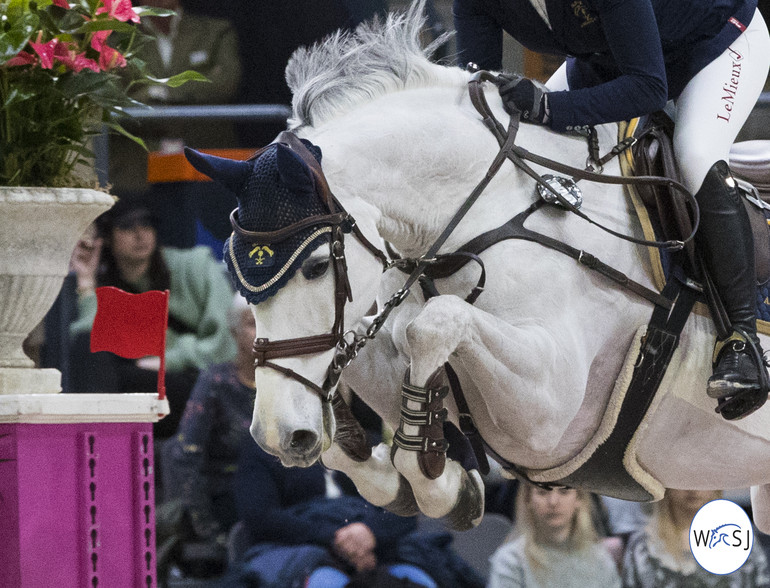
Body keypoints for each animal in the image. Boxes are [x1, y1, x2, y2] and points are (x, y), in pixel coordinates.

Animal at [188, 1, 770, 532]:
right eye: (237, 276)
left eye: (312, 267)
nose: (278, 437)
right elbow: (365, 360)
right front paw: (405, 469)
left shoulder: (553, 412)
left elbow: (432, 323)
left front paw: (432, 473)